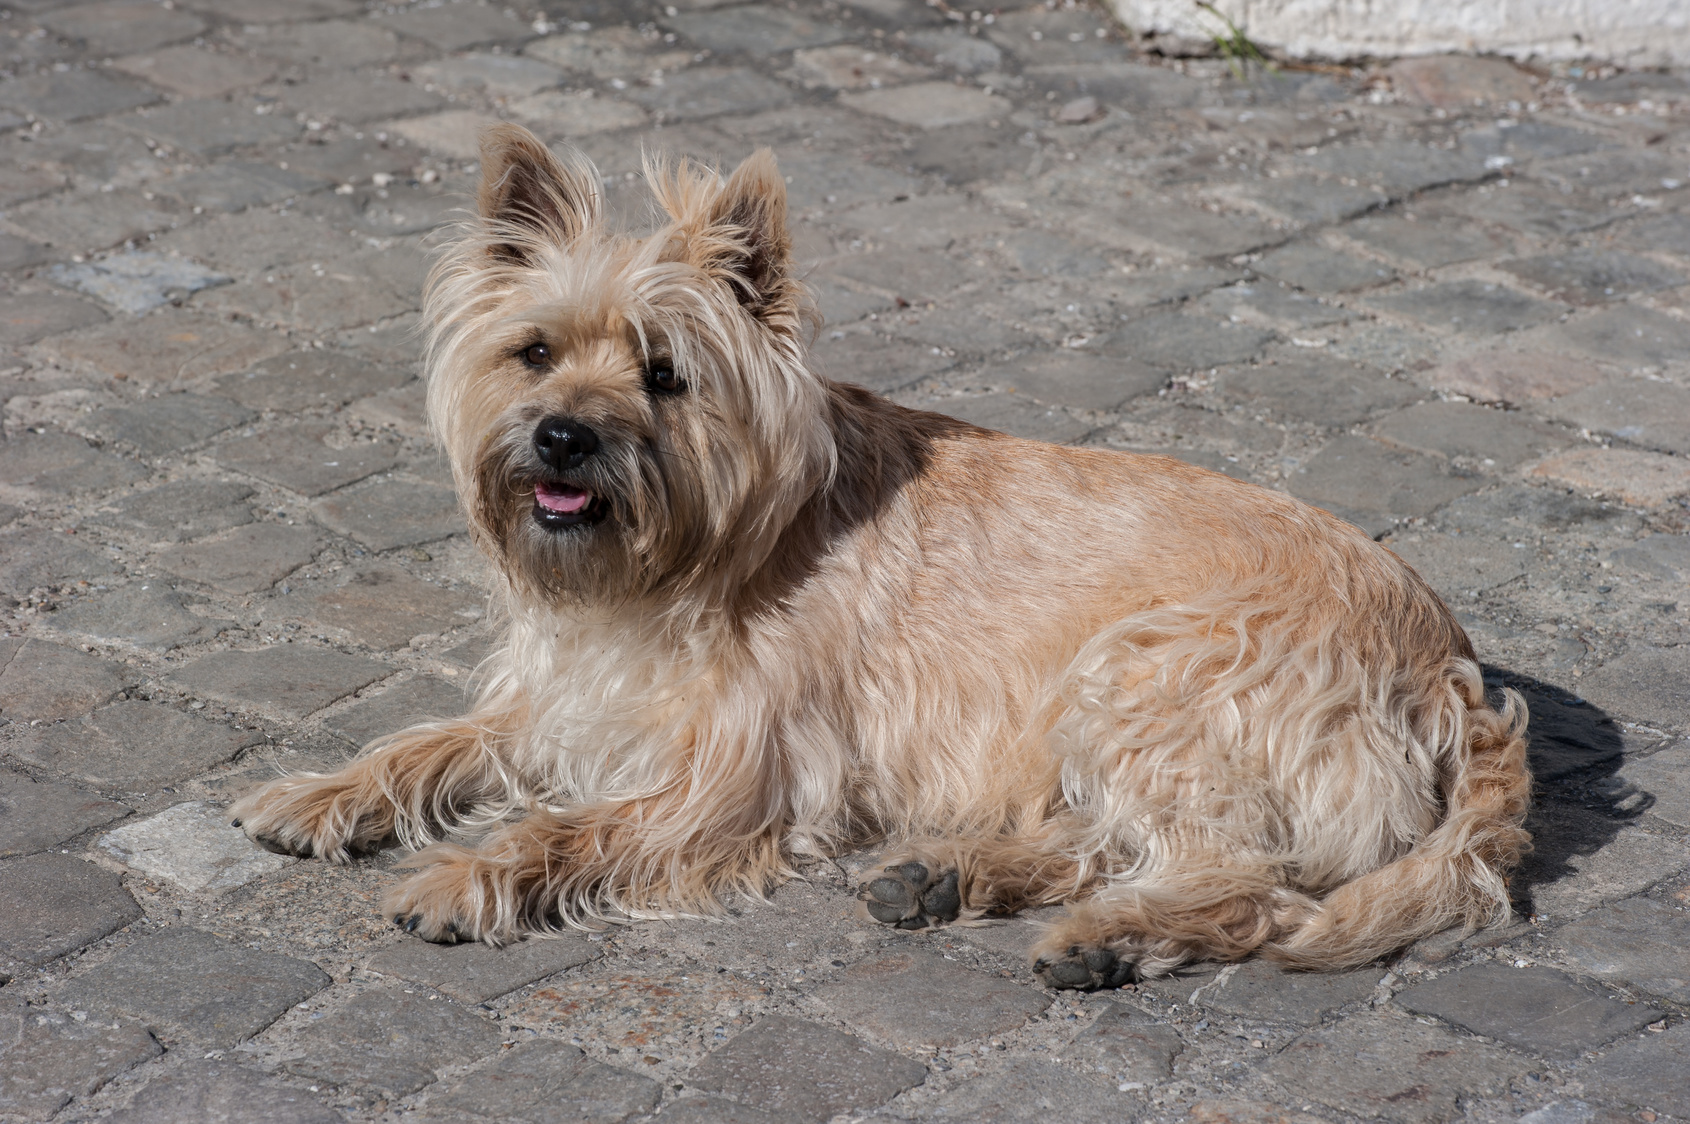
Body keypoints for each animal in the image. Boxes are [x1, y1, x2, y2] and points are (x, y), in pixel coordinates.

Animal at [228, 120, 1534, 980]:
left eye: (664, 373)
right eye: (535, 351)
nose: (561, 437)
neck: (687, 559)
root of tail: (1451, 670)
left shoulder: (726, 783)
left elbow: (566, 826)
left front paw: (464, 873)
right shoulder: (556, 699)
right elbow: (435, 739)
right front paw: (324, 792)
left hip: (1149, 670)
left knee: (1236, 881)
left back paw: (1106, 936)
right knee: (1115, 842)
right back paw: (955, 873)